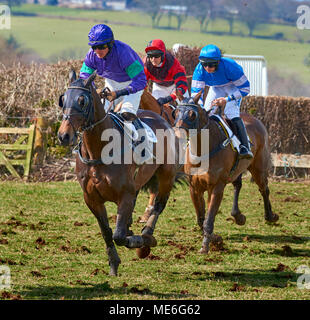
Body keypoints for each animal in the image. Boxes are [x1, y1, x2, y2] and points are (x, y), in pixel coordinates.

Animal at [57, 71, 180, 276]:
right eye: (63, 99)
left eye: (82, 101)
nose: (63, 135)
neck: (99, 150)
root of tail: (163, 119)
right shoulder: (92, 198)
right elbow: (107, 232)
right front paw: (113, 264)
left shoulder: (125, 195)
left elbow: (119, 235)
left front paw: (138, 241)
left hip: (166, 176)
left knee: (158, 206)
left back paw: (147, 237)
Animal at [174, 94, 278, 254]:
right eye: (175, 113)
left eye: (192, 115)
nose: (178, 134)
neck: (203, 151)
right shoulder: (194, 188)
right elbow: (201, 218)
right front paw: (214, 238)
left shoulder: (216, 187)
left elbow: (208, 219)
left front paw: (205, 246)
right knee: (238, 185)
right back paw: (238, 215)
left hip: (258, 168)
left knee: (264, 189)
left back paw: (270, 216)